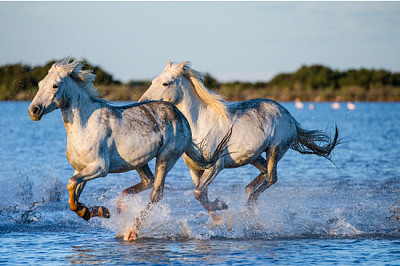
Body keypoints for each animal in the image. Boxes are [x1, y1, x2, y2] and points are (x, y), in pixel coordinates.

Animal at [28, 58, 228, 241]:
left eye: (55, 85)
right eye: (39, 84)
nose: (33, 110)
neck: (84, 126)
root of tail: (182, 117)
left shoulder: (99, 168)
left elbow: (70, 184)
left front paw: (94, 212)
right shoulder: (81, 168)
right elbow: (73, 196)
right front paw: (98, 211)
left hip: (166, 158)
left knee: (156, 193)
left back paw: (131, 231)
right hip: (139, 160)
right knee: (148, 181)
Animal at [139, 61, 340, 221]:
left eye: (165, 83)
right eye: (152, 81)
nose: (142, 102)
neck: (198, 125)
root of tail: (287, 114)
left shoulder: (215, 166)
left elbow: (198, 193)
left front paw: (222, 205)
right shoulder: (195, 170)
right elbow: (201, 195)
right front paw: (218, 213)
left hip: (275, 149)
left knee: (271, 177)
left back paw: (250, 202)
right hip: (253, 156)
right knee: (263, 174)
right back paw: (249, 197)